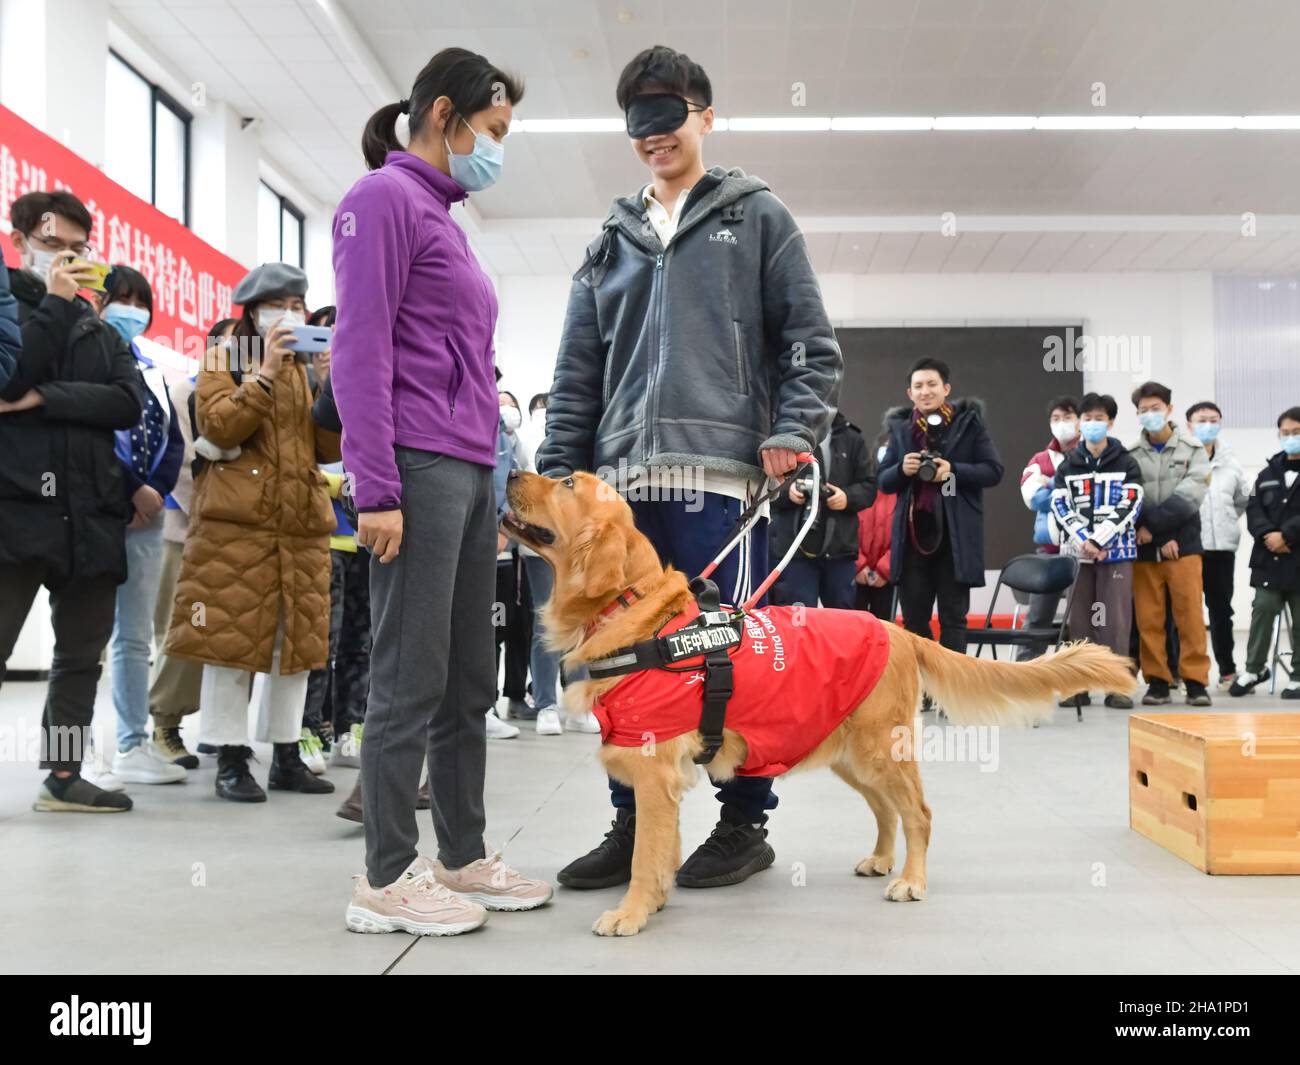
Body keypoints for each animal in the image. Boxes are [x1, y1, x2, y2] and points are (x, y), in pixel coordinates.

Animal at [501, 470, 1133, 936]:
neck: (635, 616)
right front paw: (651, 903)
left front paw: (630, 913)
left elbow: (645, 854)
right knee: (886, 812)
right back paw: (881, 859)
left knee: (918, 814)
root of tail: (898, 629)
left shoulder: (653, 771)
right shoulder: (657, 777)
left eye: (565, 483)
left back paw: (911, 880)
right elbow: (657, 849)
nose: (509, 471)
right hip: (851, 757)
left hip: (882, 752)